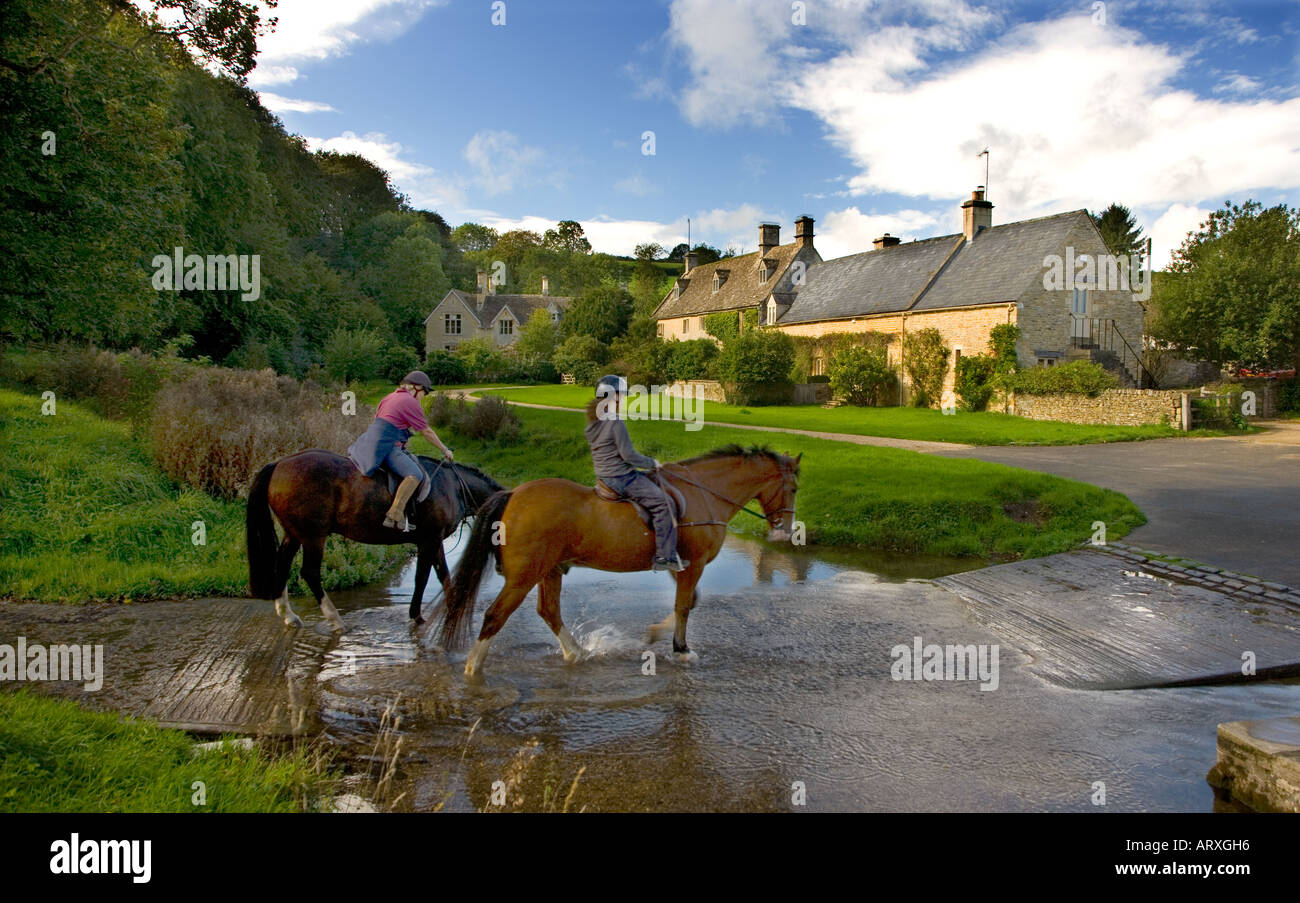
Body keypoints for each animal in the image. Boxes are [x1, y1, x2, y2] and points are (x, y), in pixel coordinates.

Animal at [245, 449, 504, 631]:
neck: (453, 486)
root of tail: (280, 464)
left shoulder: (434, 541)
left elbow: (444, 576)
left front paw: (454, 607)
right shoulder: (429, 540)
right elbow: (422, 578)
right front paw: (417, 615)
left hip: (294, 534)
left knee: (282, 565)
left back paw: (288, 615)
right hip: (313, 536)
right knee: (310, 573)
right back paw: (335, 620)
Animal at [441, 444, 795, 675]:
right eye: (792, 488)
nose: (786, 530)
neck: (704, 493)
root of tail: (514, 494)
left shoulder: (679, 565)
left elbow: (688, 602)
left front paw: (655, 633)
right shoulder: (692, 565)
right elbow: (684, 606)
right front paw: (681, 650)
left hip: (549, 570)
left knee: (549, 611)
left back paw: (576, 652)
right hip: (524, 576)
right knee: (495, 616)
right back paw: (473, 667)